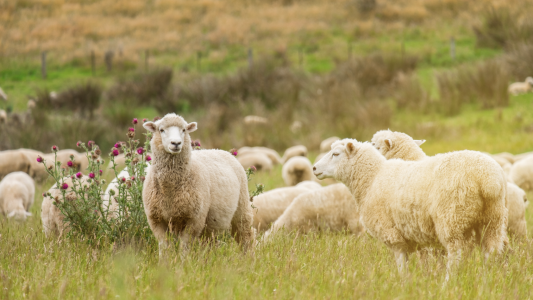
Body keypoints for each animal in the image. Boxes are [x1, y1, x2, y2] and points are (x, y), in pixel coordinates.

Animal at [142, 113, 255, 258]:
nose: (176, 143)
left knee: (245, 235)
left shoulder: (194, 219)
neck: (170, 190)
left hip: (241, 208)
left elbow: (184, 246)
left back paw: (249, 258)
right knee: (210, 243)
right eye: (161, 130)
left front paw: (183, 262)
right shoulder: (156, 219)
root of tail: (220, 150)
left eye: (184, 130)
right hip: (211, 224)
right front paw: (165, 263)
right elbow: (165, 247)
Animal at [314, 138, 504, 278]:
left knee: (456, 255)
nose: (314, 168)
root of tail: (487, 178)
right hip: (493, 219)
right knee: (491, 253)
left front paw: (403, 284)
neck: (372, 178)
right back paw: (487, 281)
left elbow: (401, 264)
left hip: (452, 218)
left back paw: (448, 284)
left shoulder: (392, 234)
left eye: (335, 154)